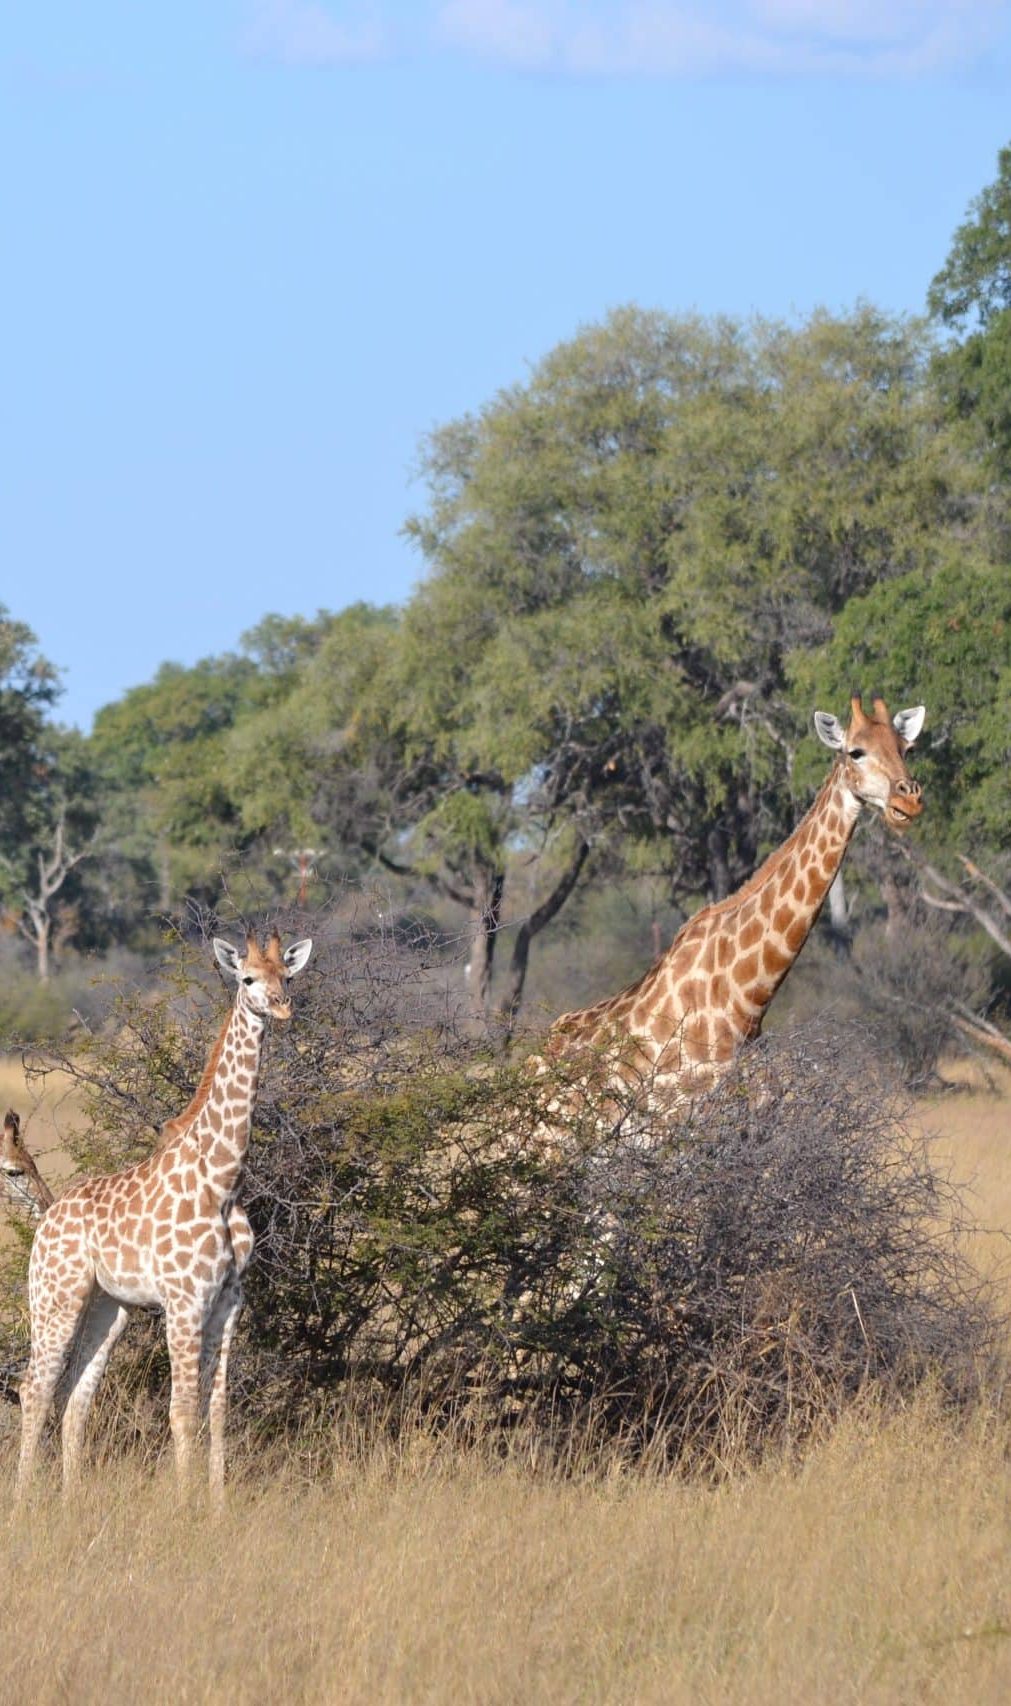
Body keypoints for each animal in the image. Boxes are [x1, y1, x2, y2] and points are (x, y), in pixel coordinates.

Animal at [16, 934, 311, 1508]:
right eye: (247, 978)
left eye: (287, 976)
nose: (282, 1007)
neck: (223, 1180)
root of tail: (46, 1219)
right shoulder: (183, 1300)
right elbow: (182, 1410)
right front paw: (184, 1506)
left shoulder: (228, 1302)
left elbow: (217, 1409)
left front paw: (217, 1508)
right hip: (55, 1297)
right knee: (33, 1388)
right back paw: (22, 1509)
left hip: (109, 1307)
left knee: (76, 1397)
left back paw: (71, 1502)